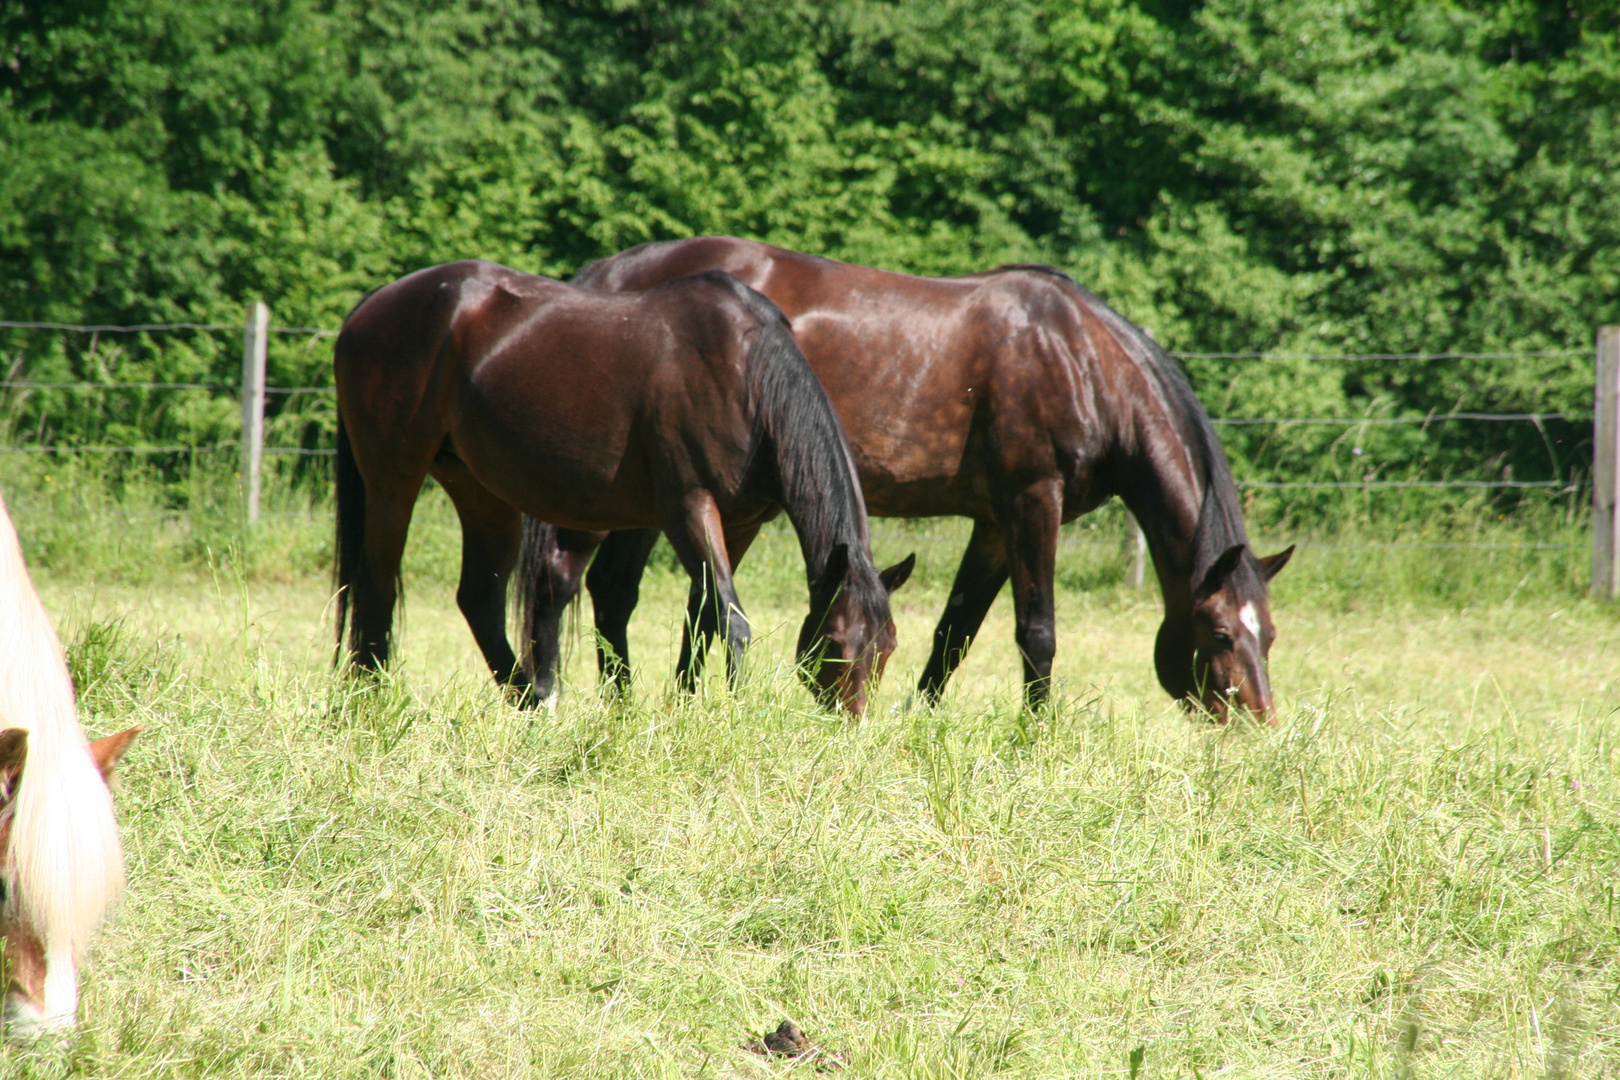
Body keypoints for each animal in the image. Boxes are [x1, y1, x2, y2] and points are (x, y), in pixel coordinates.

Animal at [332, 260, 913, 712]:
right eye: (834, 642)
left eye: (887, 647)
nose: (851, 724)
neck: (746, 377)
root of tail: (370, 306)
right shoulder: (688, 507)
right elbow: (730, 618)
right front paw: (736, 709)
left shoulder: (739, 521)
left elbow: (701, 617)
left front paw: (683, 706)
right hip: (394, 480)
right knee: (377, 585)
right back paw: (369, 700)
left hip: (480, 491)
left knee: (481, 598)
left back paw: (532, 703)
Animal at [515, 241, 1289, 722]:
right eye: (1221, 632)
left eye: (1271, 635)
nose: (1259, 722)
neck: (1082, 359)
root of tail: (606, 273)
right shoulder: (1032, 502)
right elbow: (1037, 631)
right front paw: (1037, 733)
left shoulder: (993, 523)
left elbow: (955, 632)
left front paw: (919, 716)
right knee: (570, 579)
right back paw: (552, 698)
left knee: (615, 588)